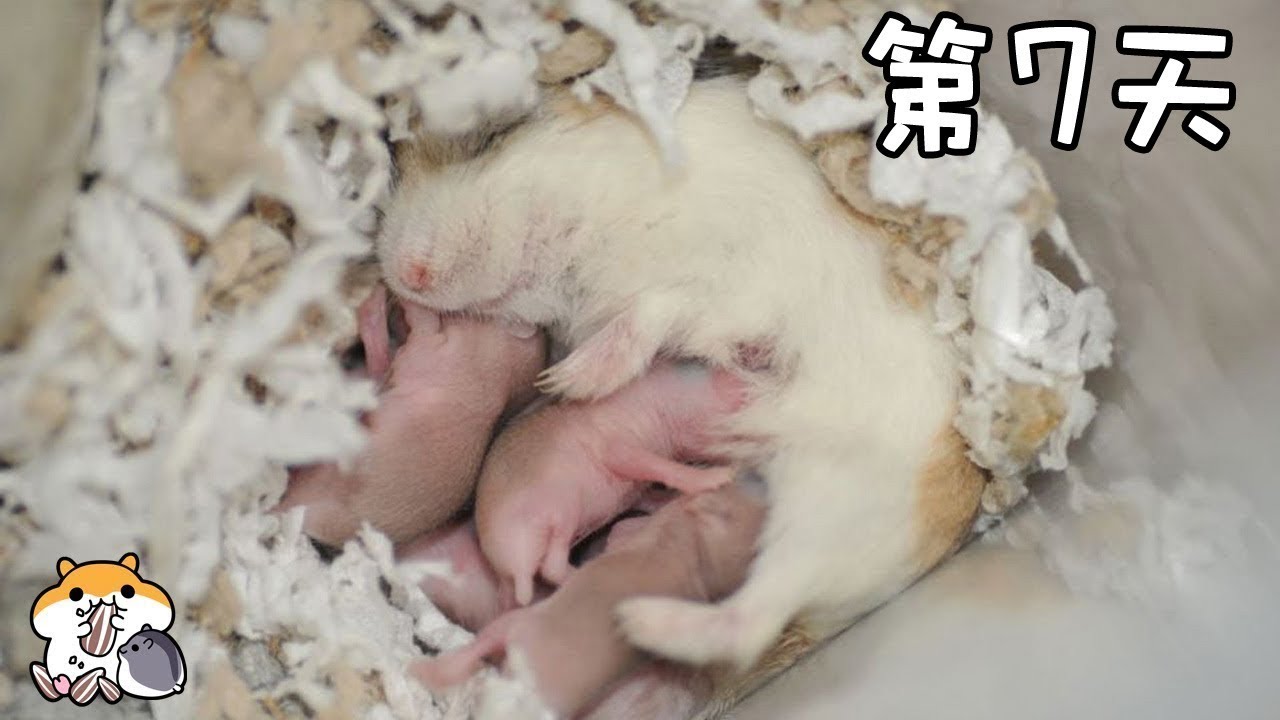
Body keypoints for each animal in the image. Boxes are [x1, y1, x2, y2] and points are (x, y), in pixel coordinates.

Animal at [380, 77, 985, 671]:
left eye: (492, 136)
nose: (408, 275)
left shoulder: (728, 283)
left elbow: (655, 310)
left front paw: (569, 379)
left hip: (839, 502)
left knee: (751, 623)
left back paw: (637, 618)